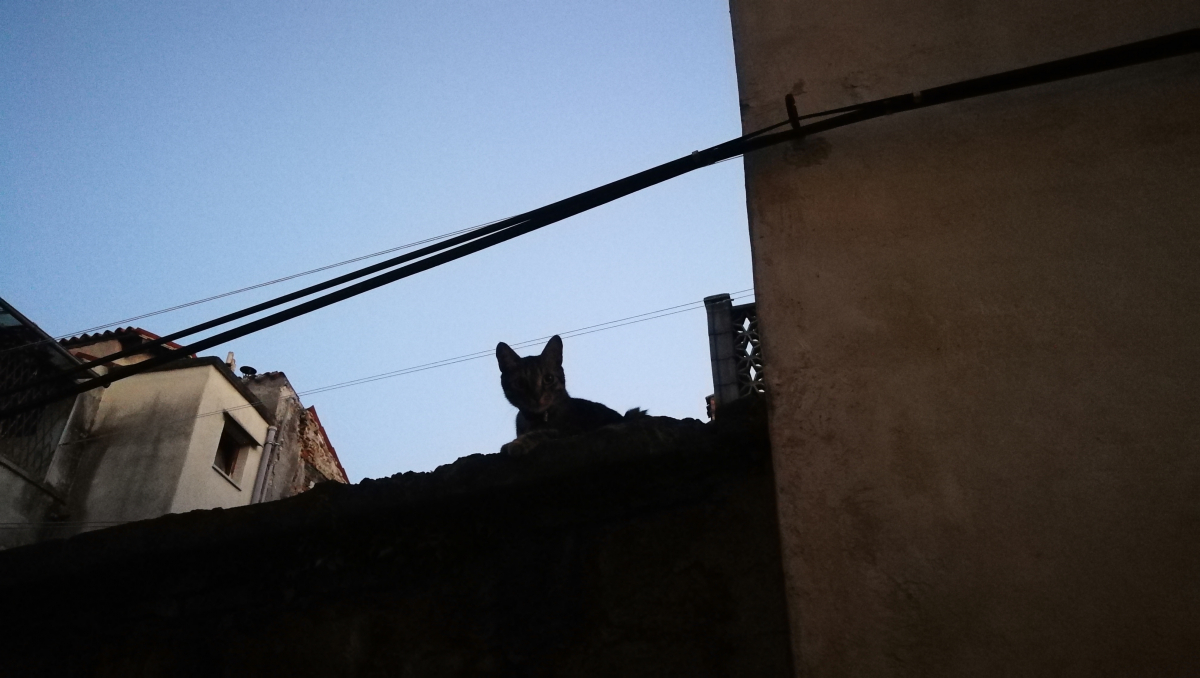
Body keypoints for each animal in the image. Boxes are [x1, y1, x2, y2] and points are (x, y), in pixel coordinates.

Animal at [496, 335, 643, 455]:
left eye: (548, 378)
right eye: (520, 383)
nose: (537, 396)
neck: (536, 420)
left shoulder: (574, 430)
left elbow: (546, 432)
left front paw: (517, 443)